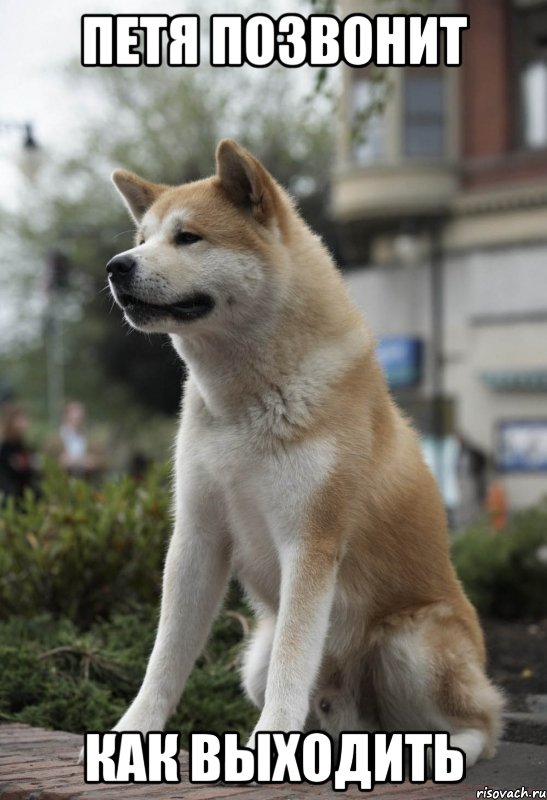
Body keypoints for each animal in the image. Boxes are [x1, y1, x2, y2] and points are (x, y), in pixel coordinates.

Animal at [105, 141, 504, 764]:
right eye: (142, 238)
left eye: (188, 237)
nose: (117, 265)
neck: (245, 403)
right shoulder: (197, 536)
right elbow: (165, 659)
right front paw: (130, 733)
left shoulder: (311, 541)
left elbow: (294, 662)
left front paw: (269, 744)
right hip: (255, 662)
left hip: (411, 646)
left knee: (482, 727)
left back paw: (438, 749)